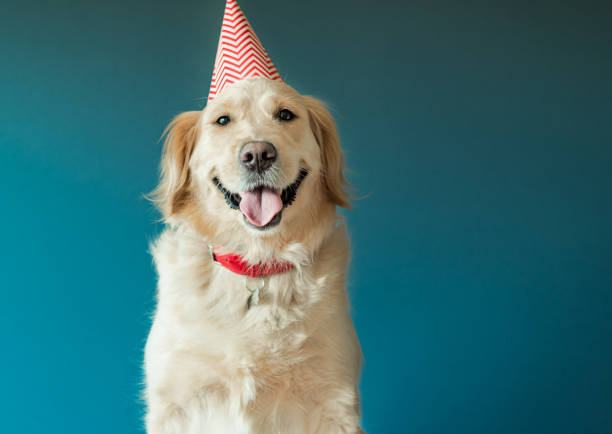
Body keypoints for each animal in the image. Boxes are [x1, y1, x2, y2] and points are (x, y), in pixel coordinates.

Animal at [143, 78, 364, 434]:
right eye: (222, 120)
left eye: (286, 114)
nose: (258, 155)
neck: (256, 262)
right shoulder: (177, 401)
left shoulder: (333, 399)